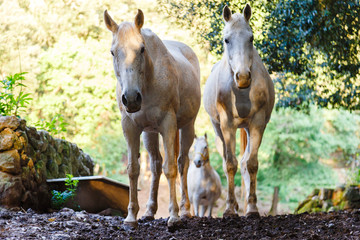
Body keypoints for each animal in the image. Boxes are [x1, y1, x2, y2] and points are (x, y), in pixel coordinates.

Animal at [103, 9, 202, 227]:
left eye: (141, 49)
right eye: (113, 52)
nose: (131, 98)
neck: (148, 81)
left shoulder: (168, 123)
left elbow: (170, 168)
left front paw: (173, 216)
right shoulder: (130, 126)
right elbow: (134, 169)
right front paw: (131, 217)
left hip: (187, 127)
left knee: (182, 163)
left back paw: (185, 210)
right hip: (150, 133)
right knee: (156, 165)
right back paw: (149, 211)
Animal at [204, 4, 274, 217]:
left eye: (251, 38)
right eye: (226, 39)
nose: (242, 77)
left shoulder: (257, 124)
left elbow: (250, 164)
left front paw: (252, 208)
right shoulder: (227, 125)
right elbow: (230, 164)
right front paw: (229, 208)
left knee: (244, 162)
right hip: (217, 128)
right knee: (228, 160)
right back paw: (234, 204)